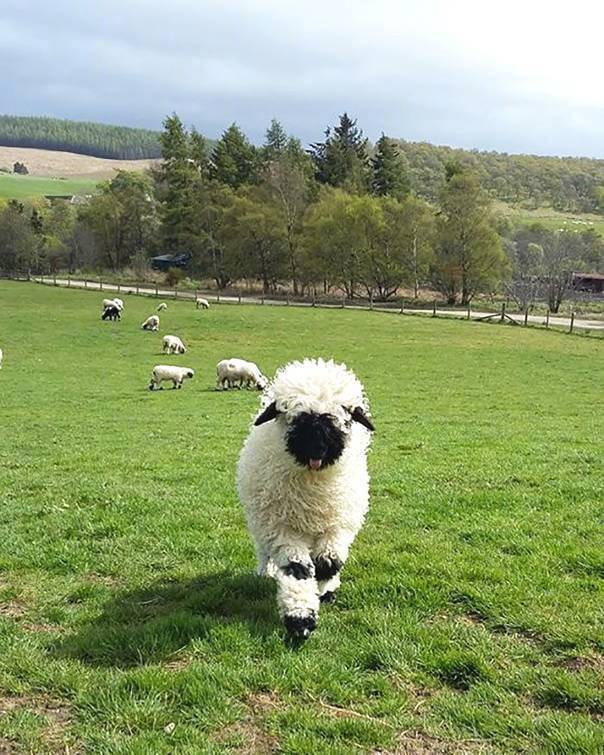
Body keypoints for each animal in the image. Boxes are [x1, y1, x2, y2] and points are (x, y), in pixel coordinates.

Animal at [237, 358, 376, 636]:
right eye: (297, 417)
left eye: (340, 416)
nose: (317, 449)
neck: (313, 487)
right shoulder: (281, 530)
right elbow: (298, 569)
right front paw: (300, 617)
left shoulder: (337, 526)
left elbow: (328, 563)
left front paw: (323, 590)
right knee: (265, 553)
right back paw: (266, 573)